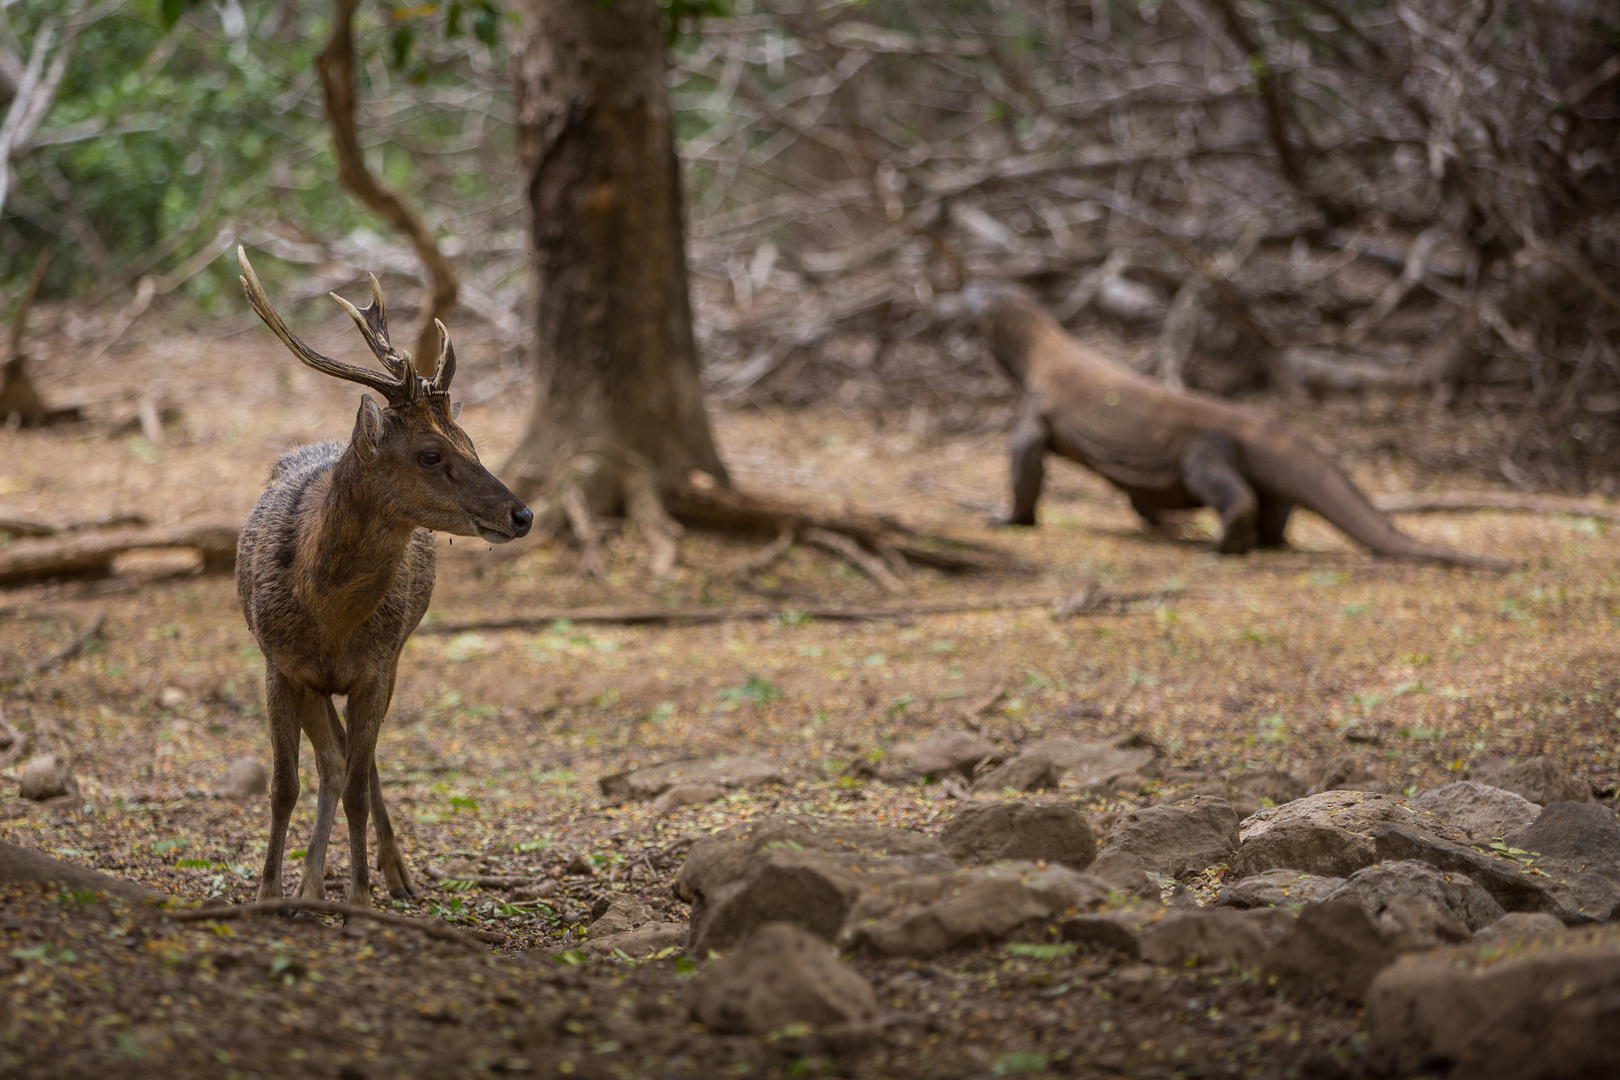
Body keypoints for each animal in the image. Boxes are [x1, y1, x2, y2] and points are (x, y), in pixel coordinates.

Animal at [233, 249, 531, 906]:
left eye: (471, 442)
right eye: (431, 453)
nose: (522, 514)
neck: (328, 614)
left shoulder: (374, 666)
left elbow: (356, 789)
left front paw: (362, 901)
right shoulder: (279, 664)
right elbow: (284, 785)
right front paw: (269, 898)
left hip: (391, 659)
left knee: (356, 765)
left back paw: (390, 877)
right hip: (316, 681)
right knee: (333, 760)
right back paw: (309, 887)